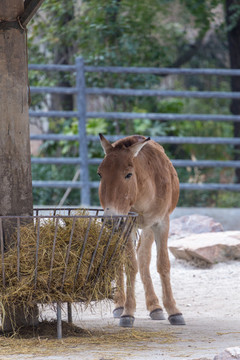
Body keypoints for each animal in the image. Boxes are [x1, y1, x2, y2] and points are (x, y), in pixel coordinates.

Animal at [97, 134, 186, 328]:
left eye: (128, 174)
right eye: (100, 174)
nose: (110, 219)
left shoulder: (161, 223)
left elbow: (162, 264)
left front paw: (173, 311)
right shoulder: (127, 224)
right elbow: (131, 265)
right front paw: (127, 312)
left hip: (146, 228)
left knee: (144, 258)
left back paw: (155, 307)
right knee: (123, 259)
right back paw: (119, 305)